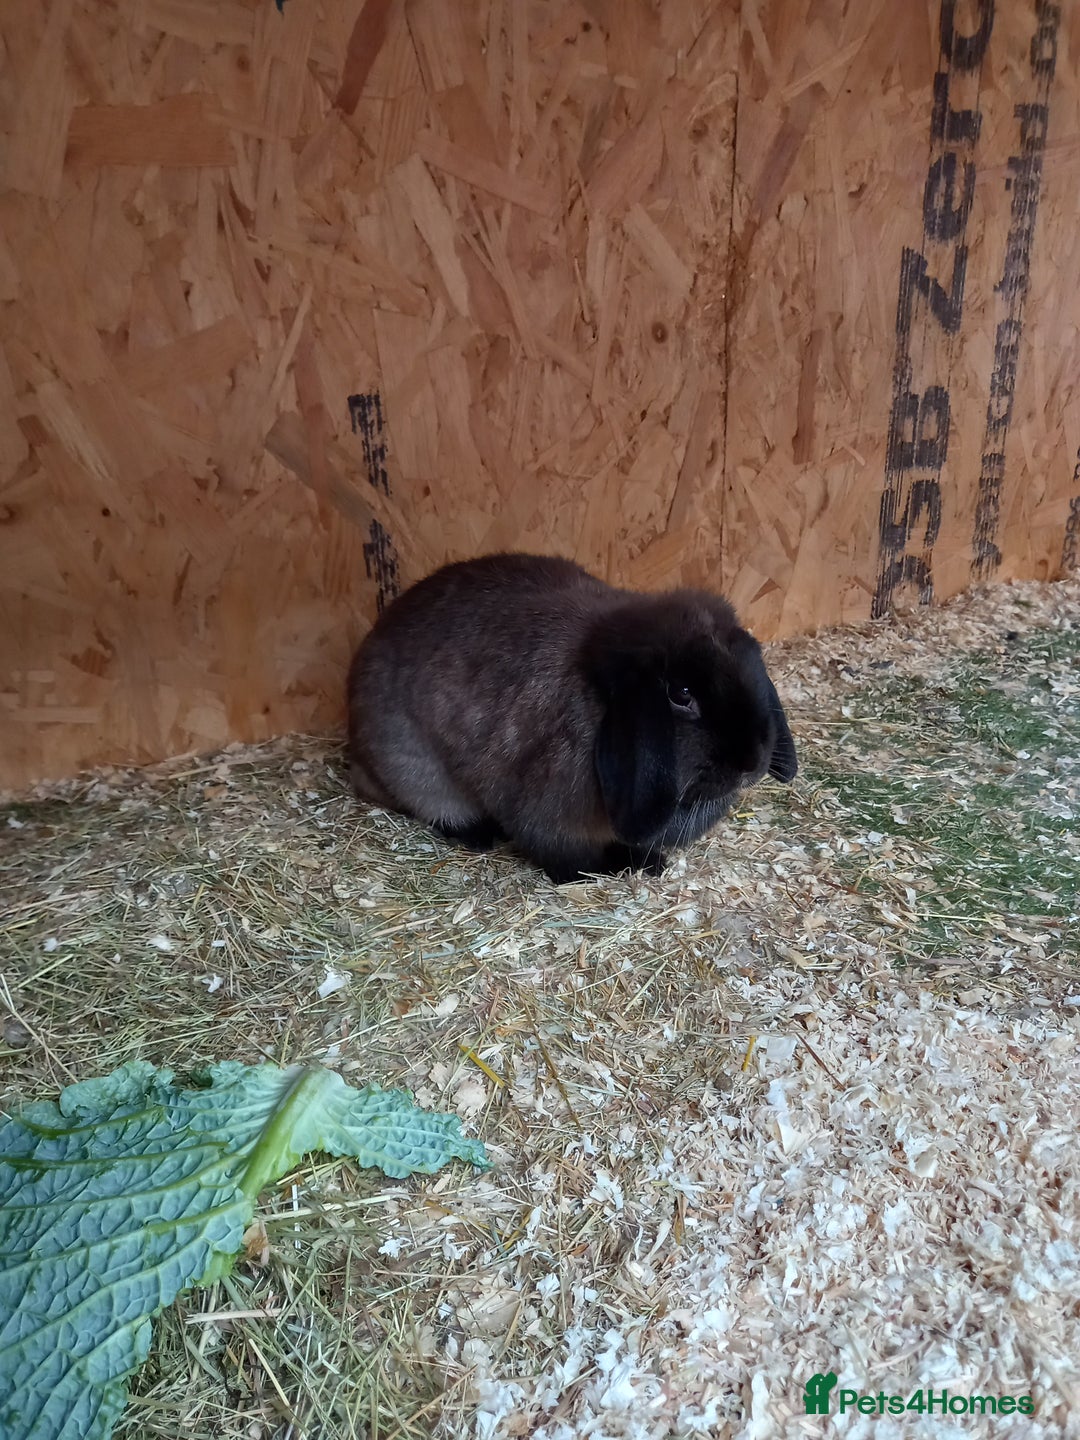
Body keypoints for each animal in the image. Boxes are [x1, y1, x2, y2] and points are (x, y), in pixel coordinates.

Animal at [346, 552, 798, 884]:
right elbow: (566, 857)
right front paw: (610, 870)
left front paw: (648, 863)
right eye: (682, 694)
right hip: (416, 769)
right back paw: (479, 835)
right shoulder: (546, 819)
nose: (751, 764)